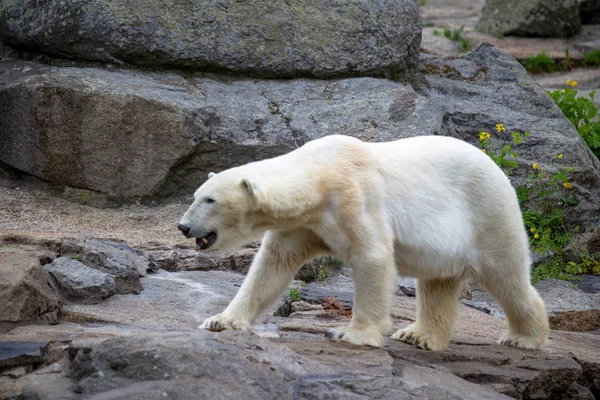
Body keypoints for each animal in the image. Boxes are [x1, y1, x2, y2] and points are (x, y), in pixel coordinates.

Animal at [177, 134, 548, 350]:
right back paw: (418, 335)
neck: (320, 174)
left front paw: (351, 334)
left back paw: (523, 338)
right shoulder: (304, 223)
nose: (183, 226)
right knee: (438, 281)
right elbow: (272, 266)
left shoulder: (353, 196)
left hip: (487, 212)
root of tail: (495, 165)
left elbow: (373, 257)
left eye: (210, 200)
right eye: (195, 195)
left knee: (506, 274)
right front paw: (221, 321)